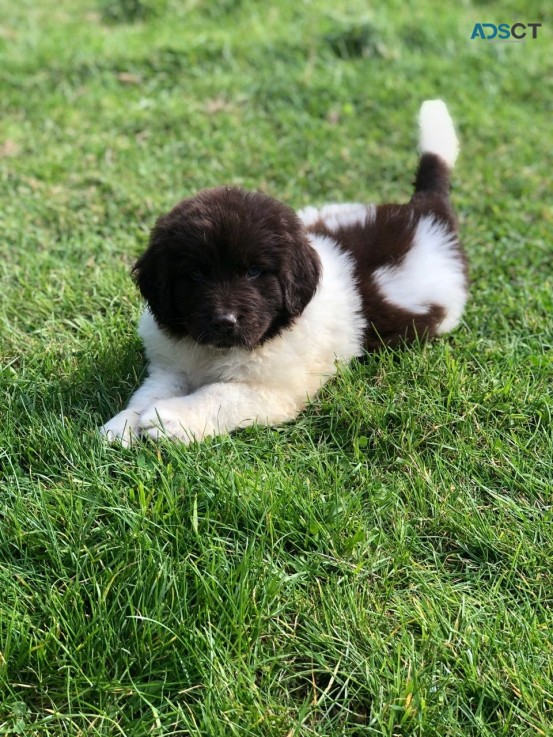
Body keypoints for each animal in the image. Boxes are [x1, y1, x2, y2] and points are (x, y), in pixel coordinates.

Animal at [100, 100, 466, 446]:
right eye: (196, 275)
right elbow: (148, 392)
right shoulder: (170, 363)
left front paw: (170, 420)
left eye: (254, 272)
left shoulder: (273, 391)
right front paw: (124, 424)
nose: (224, 321)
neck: (216, 353)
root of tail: (423, 209)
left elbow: (220, 394)